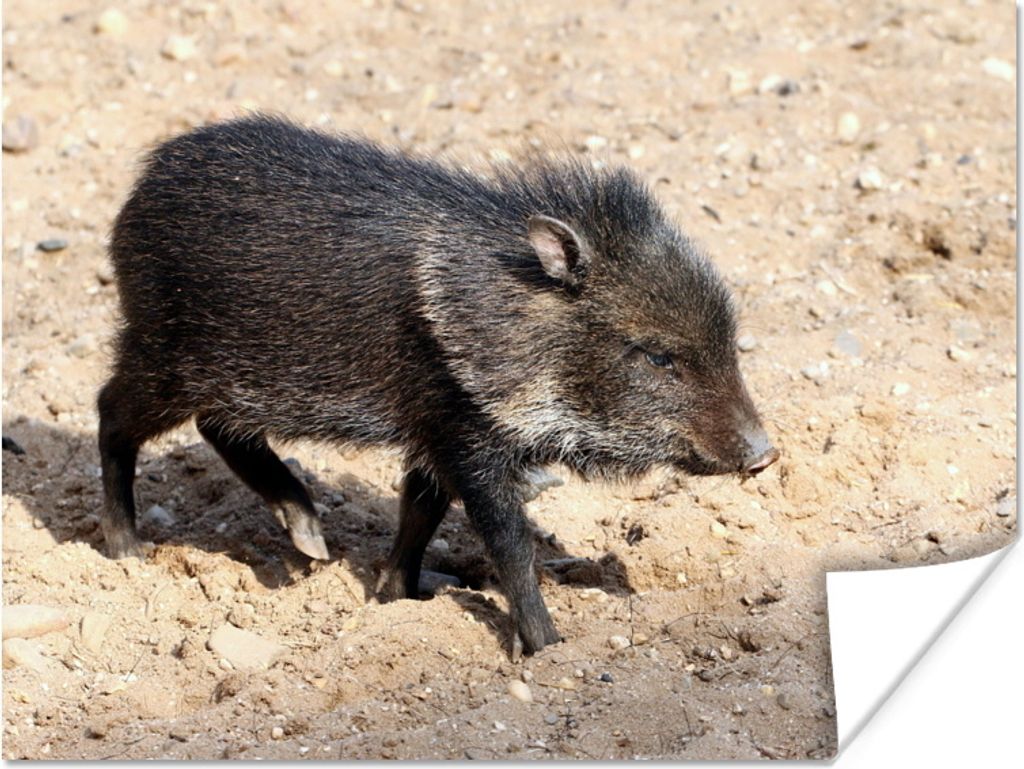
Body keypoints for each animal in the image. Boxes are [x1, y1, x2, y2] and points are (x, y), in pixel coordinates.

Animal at [98, 115, 778, 656]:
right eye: (658, 357)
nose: (766, 456)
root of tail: (138, 190)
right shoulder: (466, 432)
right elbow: (510, 545)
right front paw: (549, 649)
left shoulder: (435, 436)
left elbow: (419, 513)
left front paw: (394, 600)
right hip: (163, 354)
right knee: (111, 413)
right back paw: (128, 552)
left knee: (219, 429)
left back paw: (309, 542)